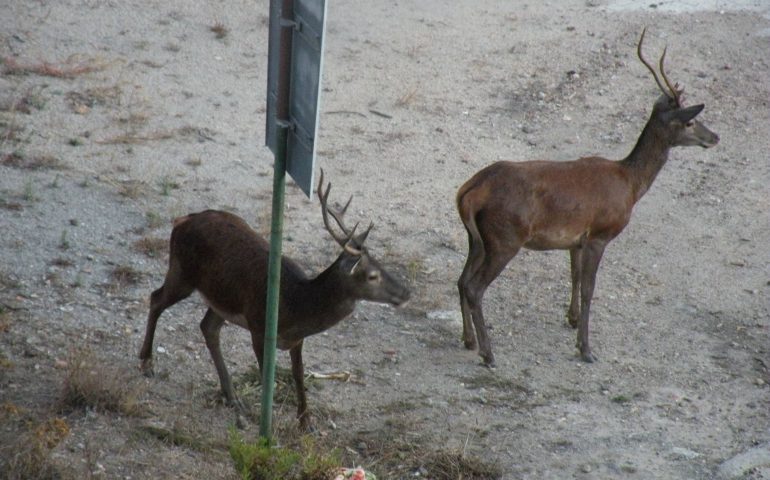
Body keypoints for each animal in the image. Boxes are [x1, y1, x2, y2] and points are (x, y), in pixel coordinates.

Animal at [140, 171, 412, 430]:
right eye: (372, 275)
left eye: (382, 265)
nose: (407, 292)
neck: (295, 306)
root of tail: (182, 220)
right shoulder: (259, 329)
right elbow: (266, 375)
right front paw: (270, 422)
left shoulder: (296, 339)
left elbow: (298, 373)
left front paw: (306, 422)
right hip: (181, 272)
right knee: (156, 299)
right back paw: (146, 363)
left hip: (222, 298)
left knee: (208, 327)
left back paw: (231, 396)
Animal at [456, 29, 712, 368]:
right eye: (690, 122)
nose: (714, 137)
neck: (631, 185)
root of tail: (470, 191)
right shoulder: (600, 234)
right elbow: (590, 289)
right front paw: (586, 348)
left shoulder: (576, 239)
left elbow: (574, 276)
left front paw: (572, 319)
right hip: (504, 238)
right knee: (474, 287)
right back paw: (488, 353)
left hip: (477, 239)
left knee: (461, 281)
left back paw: (469, 339)